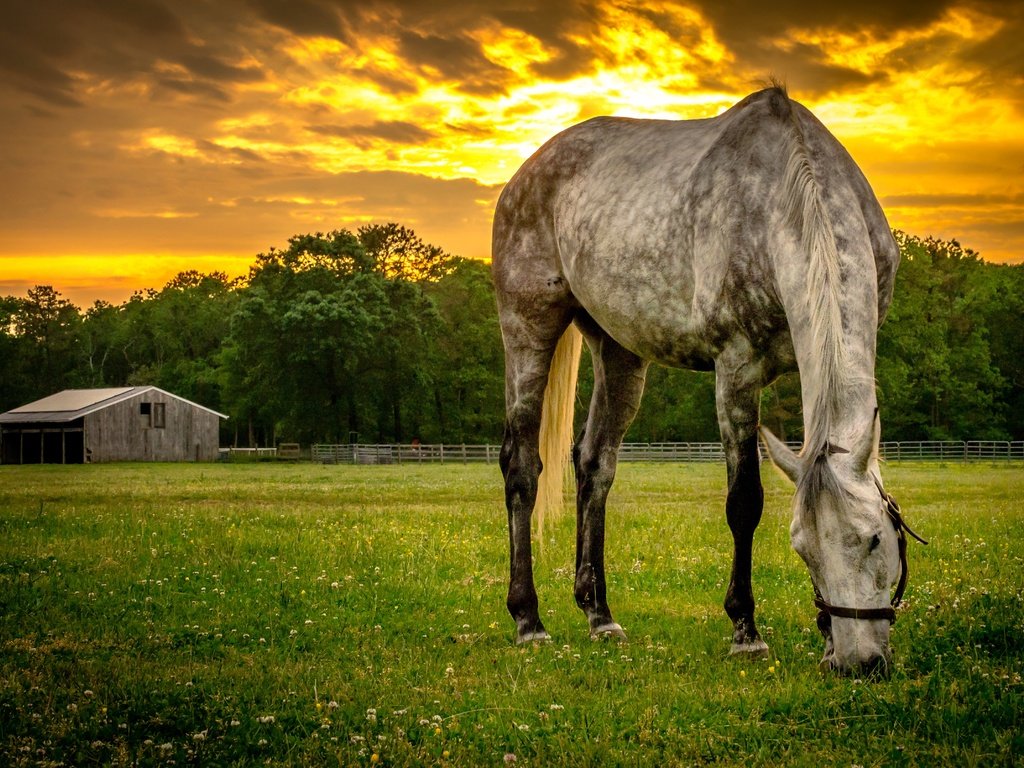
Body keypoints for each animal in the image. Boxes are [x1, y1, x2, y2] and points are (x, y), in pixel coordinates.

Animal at [491, 83, 925, 675]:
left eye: (877, 539)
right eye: (802, 548)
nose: (856, 663)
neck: (789, 192)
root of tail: (525, 174)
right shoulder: (736, 370)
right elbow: (744, 501)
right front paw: (745, 630)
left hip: (619, 352)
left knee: (594, 466)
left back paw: (599, 615)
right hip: (528, 330)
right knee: (521, 468)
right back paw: (528, 619)